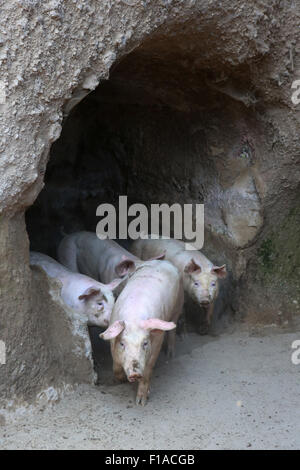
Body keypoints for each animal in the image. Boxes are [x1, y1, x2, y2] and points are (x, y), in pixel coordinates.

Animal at [99, 258, 183, 406]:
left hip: (178, 304)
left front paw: (141, 402)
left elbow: (148, 370)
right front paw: (121, 380)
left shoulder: (157, 342)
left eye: (145, 343)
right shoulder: (112, 341)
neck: (134, 318)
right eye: (122, 344)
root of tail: (163, 262)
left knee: (173, 328)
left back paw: (170, 354)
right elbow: (116, 366)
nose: (135, 373)